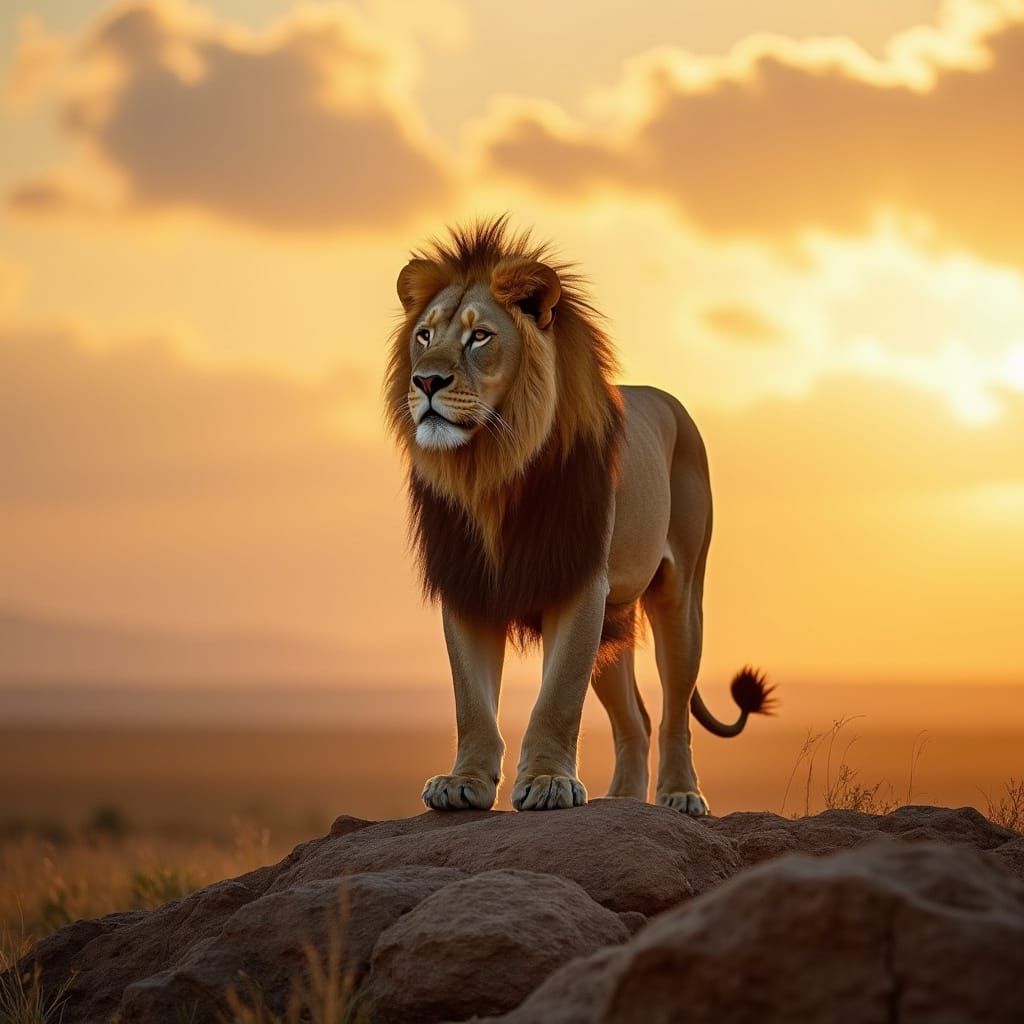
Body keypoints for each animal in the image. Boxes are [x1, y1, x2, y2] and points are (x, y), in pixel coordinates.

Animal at [385, 218, 774, 815]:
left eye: (480, 337)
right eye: (424, 335)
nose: (426, 382)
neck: (491, 468)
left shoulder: (579, 583)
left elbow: (558, 698)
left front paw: (548, 783)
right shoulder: (468, 582)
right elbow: (470, 700)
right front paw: (463, 783)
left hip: (680, 596)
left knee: (674, 711)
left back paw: (680, 795)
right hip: (614, 622)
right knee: (635, 719)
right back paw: (621, 801)